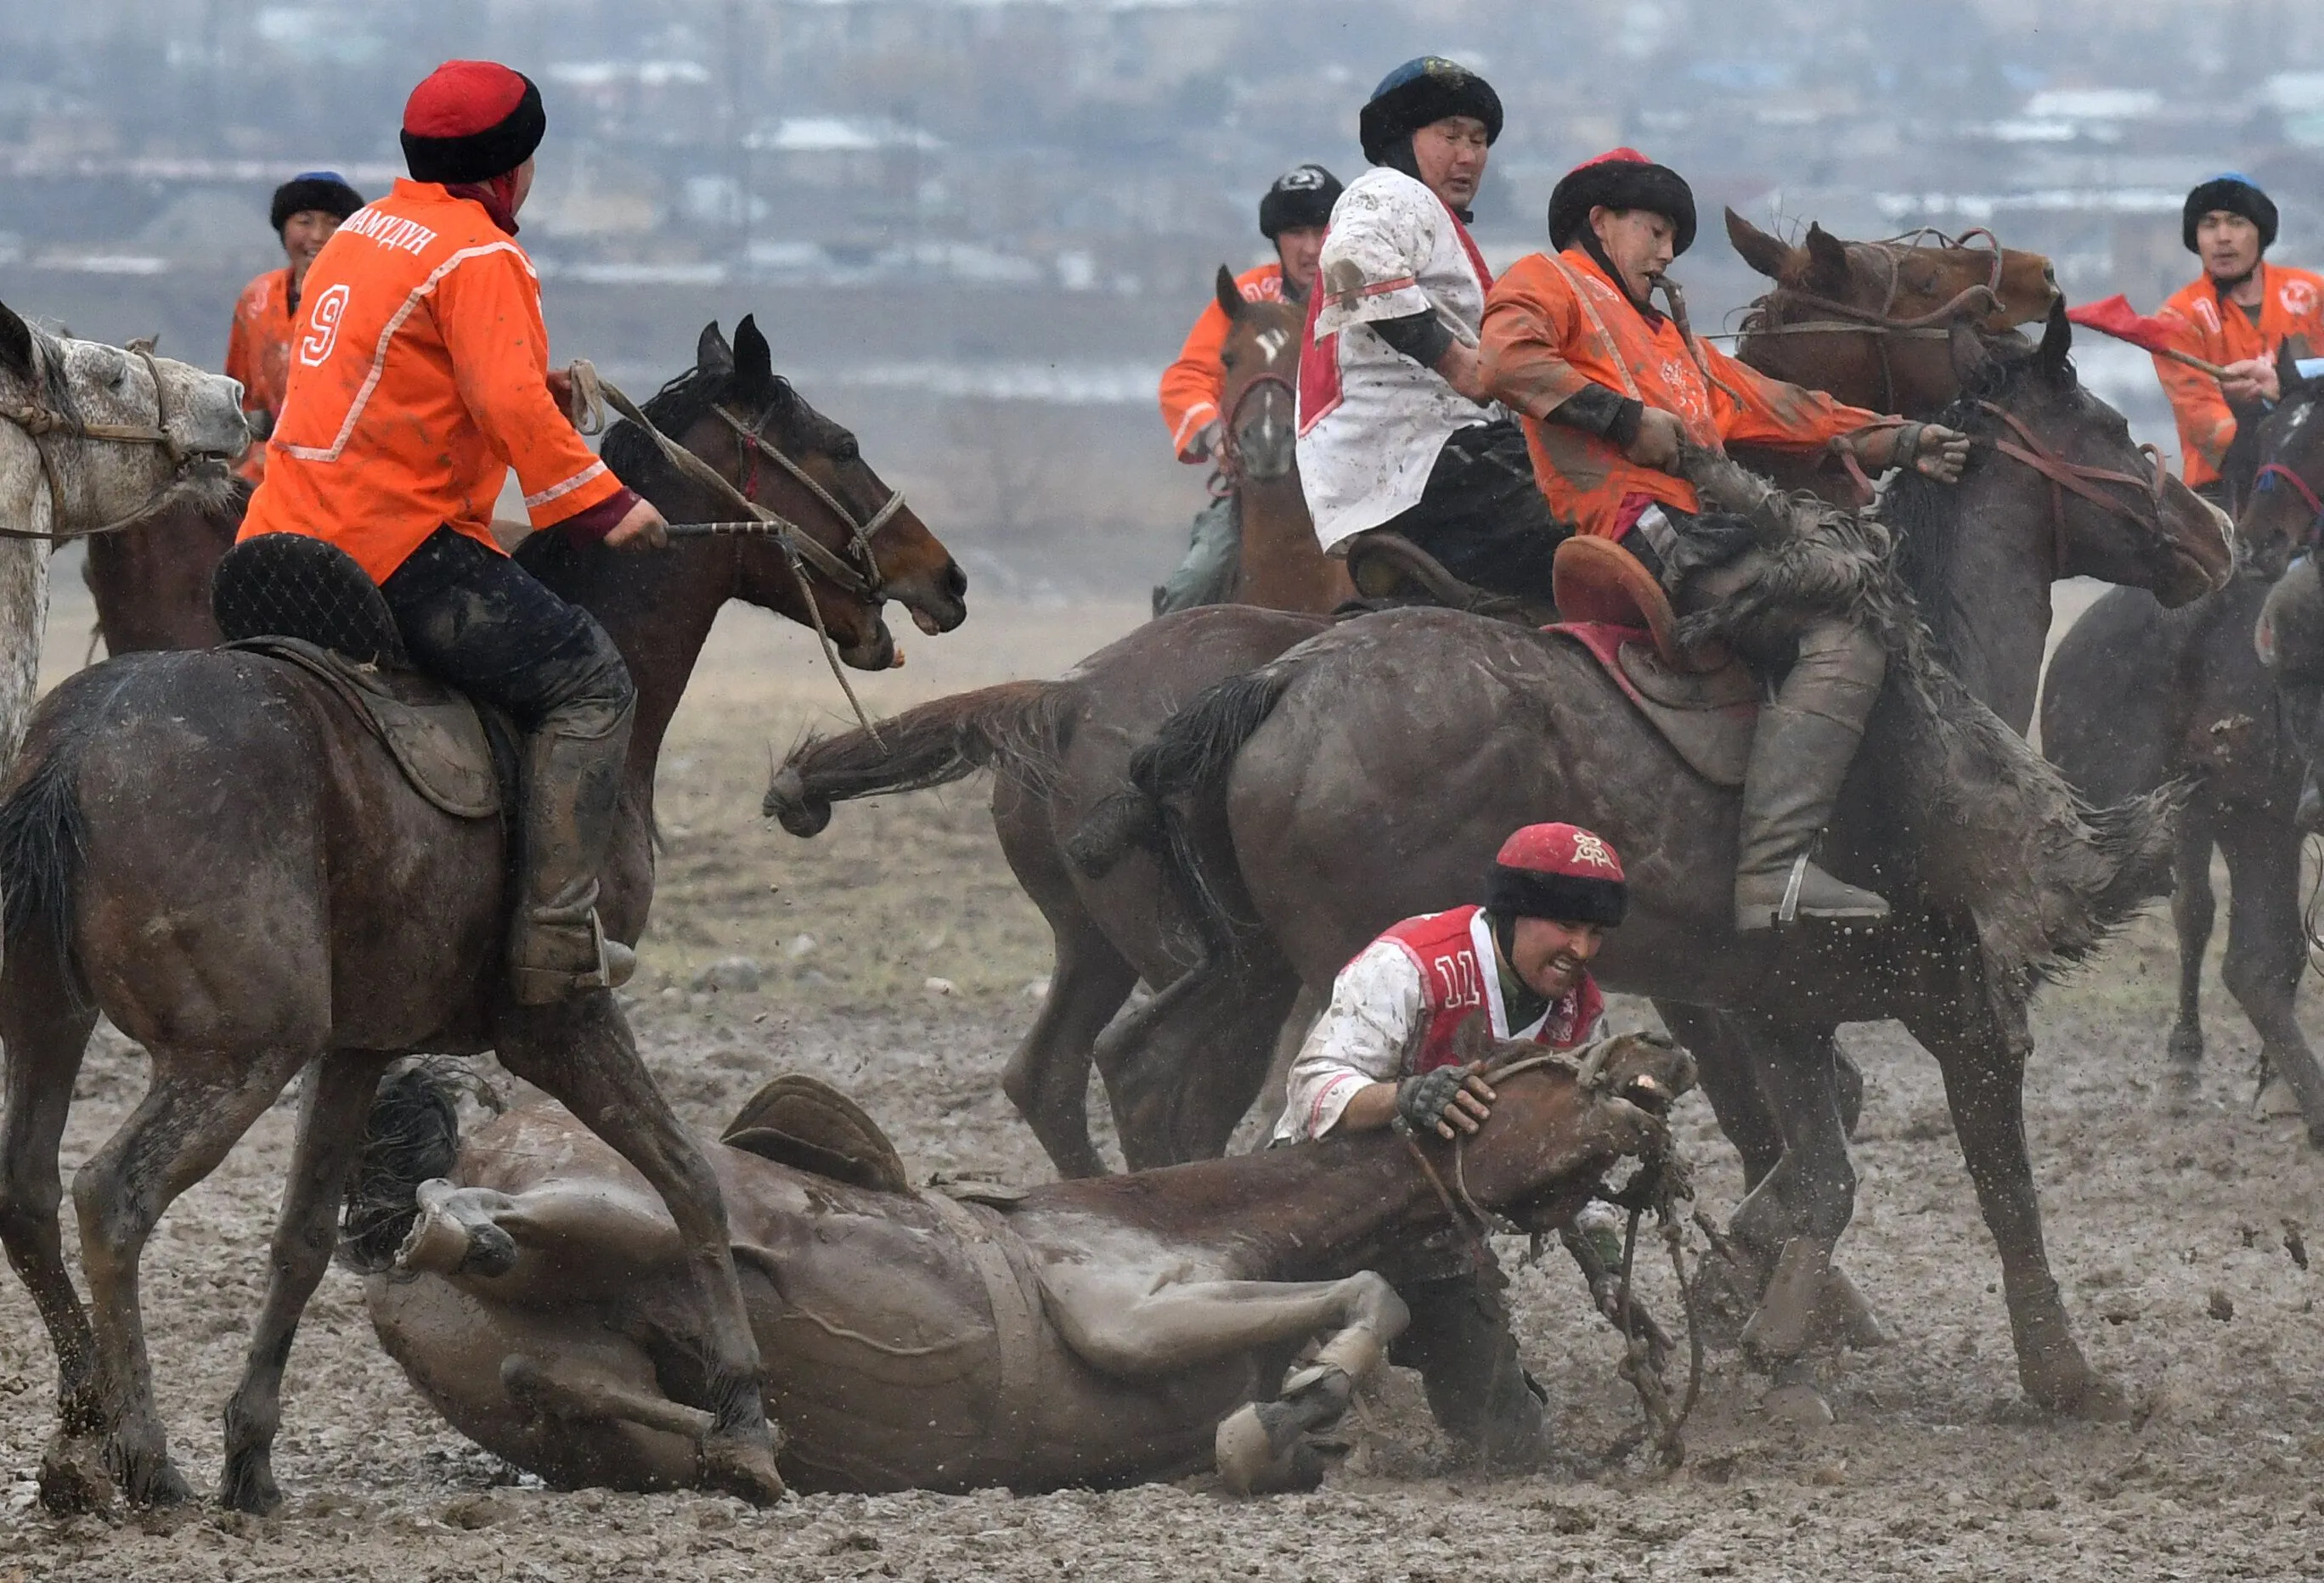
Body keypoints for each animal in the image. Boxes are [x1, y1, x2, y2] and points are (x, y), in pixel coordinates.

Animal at [348, 1022, 1691, 1496]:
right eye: (1536, 1062)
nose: (1657, 1054)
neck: (1207, 1215)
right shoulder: (1132, 1312)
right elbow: (1369, 1295)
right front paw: (1306, 1397)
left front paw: (1294, 1423)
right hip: (621, 1207)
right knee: (464, 1219)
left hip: (565, 1382)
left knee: (556, 1379)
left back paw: (749, 1448)